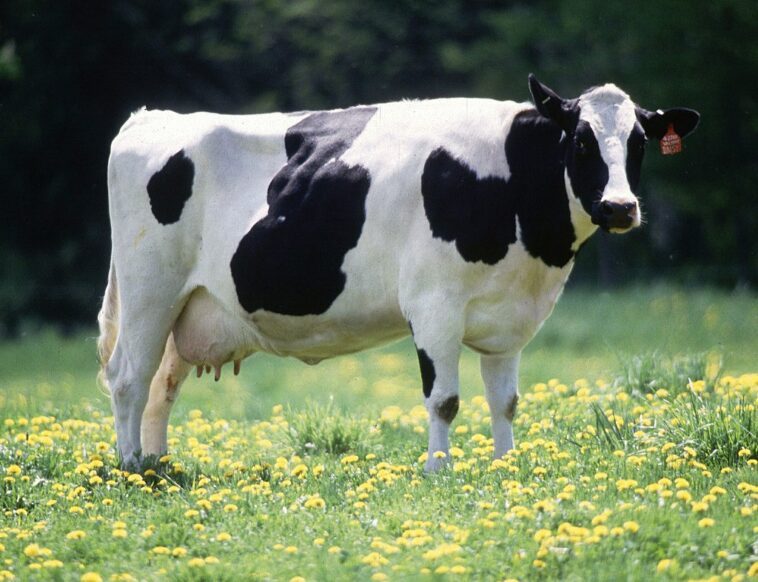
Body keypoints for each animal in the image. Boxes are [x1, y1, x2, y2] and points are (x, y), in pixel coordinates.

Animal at [97, 75, 699, 472]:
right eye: (580, 139)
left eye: (639, 142)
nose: (620, 207)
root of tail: (151, 117)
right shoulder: (434, 305)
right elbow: (445, 399)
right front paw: (439, 470)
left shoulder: (510, 318)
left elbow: (504, 400)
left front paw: (506, 466)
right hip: (149, 290)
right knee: (129, 376)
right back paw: (132, 468)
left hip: (189, 306)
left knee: (162, 384)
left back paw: (159, 464)